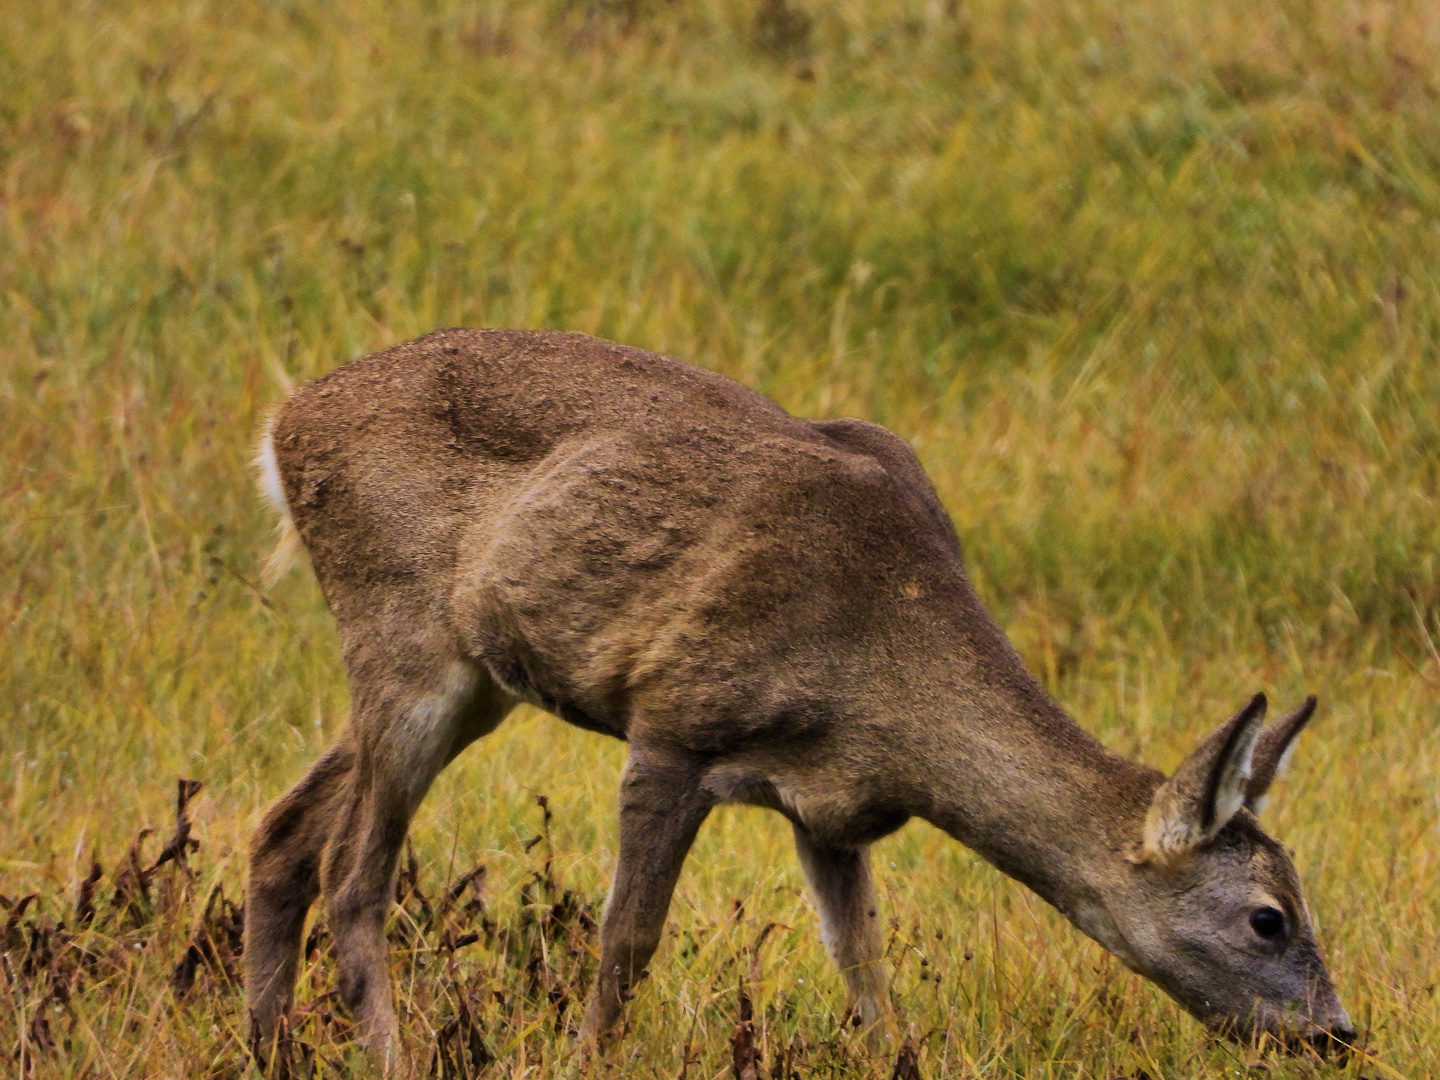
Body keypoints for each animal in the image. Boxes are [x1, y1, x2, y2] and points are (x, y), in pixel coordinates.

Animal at [244, 328, 1347, 1065]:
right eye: (1268, 918)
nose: (1337, 1030)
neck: (883, 677)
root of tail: (284, 423)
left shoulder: (834, 810)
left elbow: (863, 967)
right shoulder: (673, 722)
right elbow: (627, 944)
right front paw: (584, 1059)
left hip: (472, 678)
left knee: (283, 829)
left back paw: (266, 1047)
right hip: (402, 631)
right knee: (354, 871)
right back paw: (381, 1056)